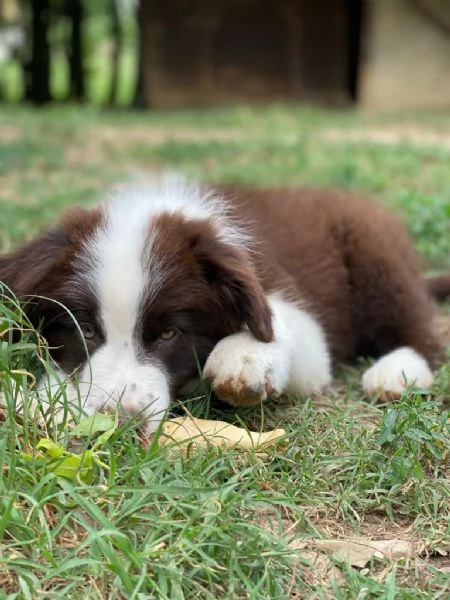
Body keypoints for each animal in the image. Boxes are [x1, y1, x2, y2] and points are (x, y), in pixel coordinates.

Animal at [0, 180, 450, 434]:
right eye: (86, 330)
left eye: (169, 334)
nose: (121, 423)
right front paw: (39, 398)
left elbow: (280, 321)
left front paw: (246, 354)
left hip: (374, 249)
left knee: (419, 329)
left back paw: (398, 371)